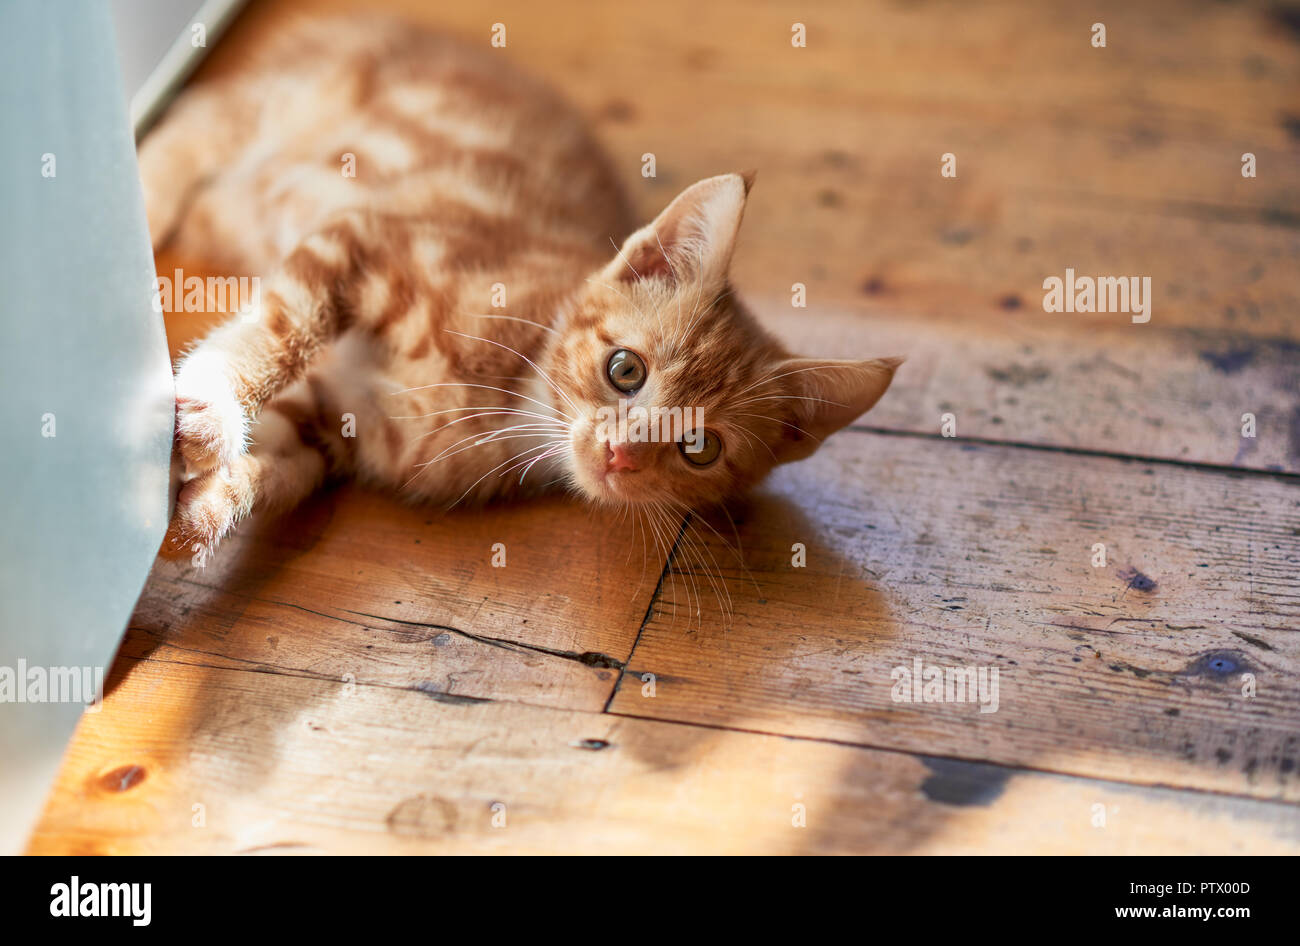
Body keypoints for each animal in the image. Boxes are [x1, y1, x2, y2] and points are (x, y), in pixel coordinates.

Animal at [142, 16, 894, 561]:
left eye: (699, 448)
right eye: (625, 370)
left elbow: (273, 465)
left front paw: (193, 520)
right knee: (184, 137)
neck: (511, 400)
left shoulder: (335, 420)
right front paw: (211, 407)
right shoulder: (368, 239)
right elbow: (280, 328)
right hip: (272, 107)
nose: (620, 453)